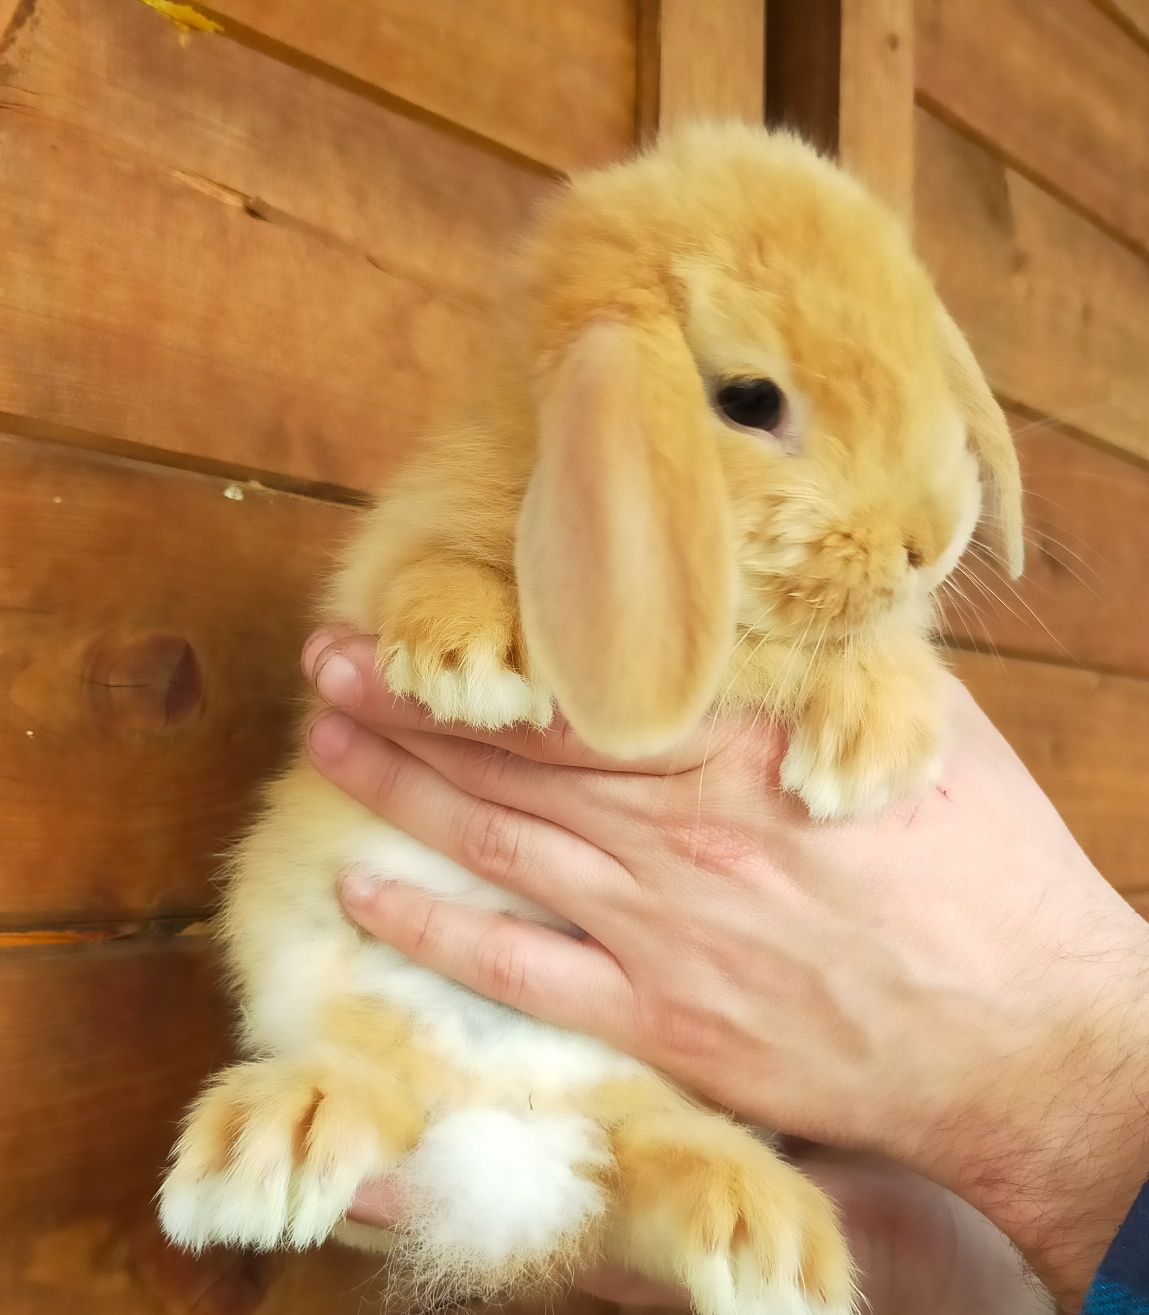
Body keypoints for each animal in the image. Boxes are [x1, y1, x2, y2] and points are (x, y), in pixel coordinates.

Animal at [159, 120, 1020, 1315]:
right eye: (750, 398)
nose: (926, 543)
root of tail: (516, 1125)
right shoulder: (391, 558)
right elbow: (437, 570)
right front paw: (472, 660)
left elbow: (876, 648)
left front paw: (866, 757)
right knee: (376, 1089)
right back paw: (269, 1150)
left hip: (656, 1090)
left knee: (646, 1154)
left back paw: (766, 1243)